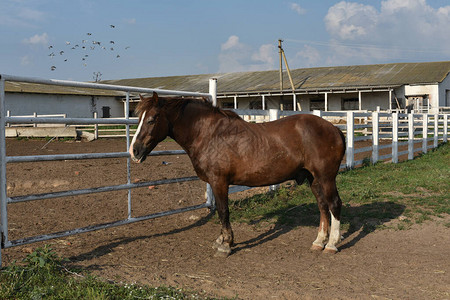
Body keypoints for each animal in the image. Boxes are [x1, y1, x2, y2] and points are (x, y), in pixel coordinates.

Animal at [128, 93, 346, 255]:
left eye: (152, 119)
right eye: (138, 118)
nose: (134, 151)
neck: (209, 134)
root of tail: (334, 128)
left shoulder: (219, 182)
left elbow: (224, 211)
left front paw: (226, 244)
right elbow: (220, 211)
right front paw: (222, 239)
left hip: (326, 177)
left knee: (334, 204)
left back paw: (331, 244)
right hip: (313, 178)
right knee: (322, 206)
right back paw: (319, 241)